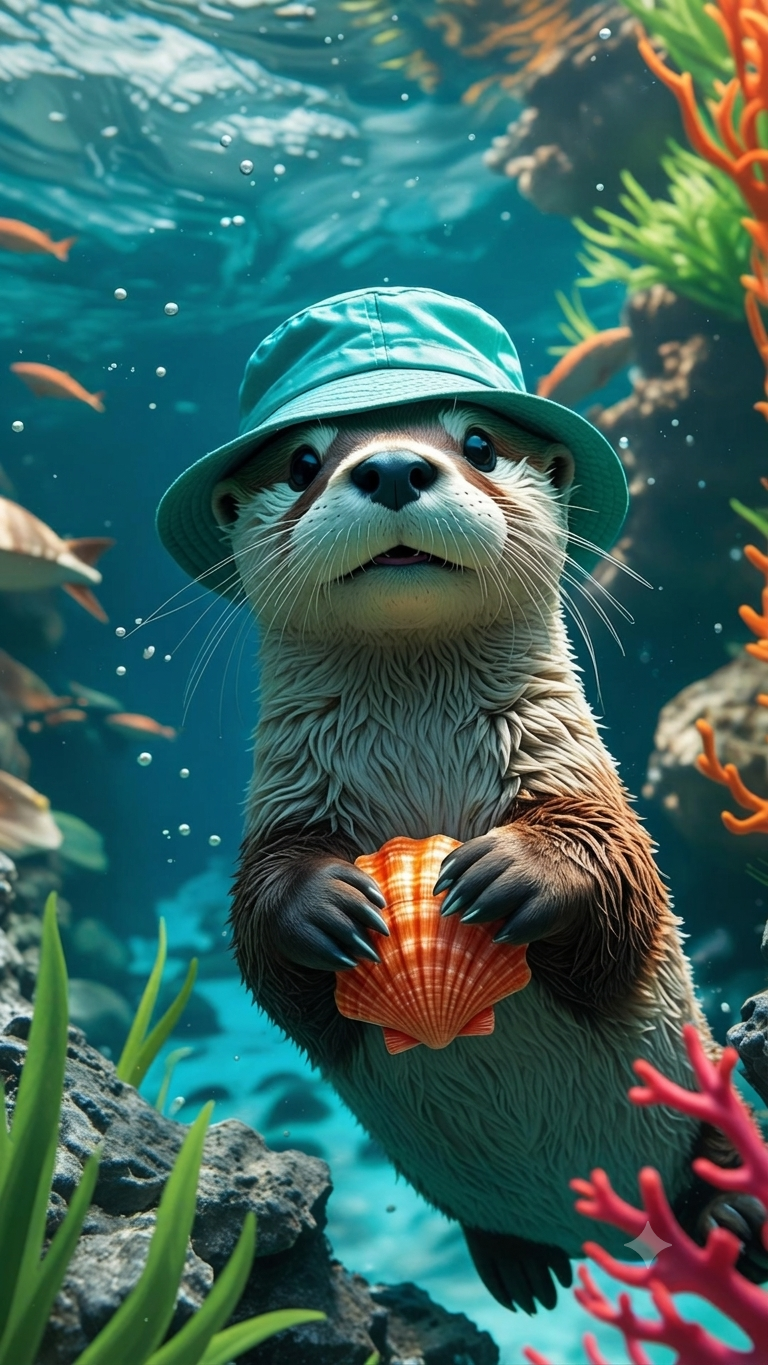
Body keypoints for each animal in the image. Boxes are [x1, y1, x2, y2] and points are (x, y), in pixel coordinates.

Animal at [157, 287, 767, 1313]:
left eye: (477, 441)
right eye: (304, 460)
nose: (393, 465)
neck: (419, 758)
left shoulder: (580, 777)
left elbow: (624, 883)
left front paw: (513, 871)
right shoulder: (280, 809)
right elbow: (261, 936)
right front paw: (326, 903)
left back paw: (732, 1209)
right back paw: (521, 1264)